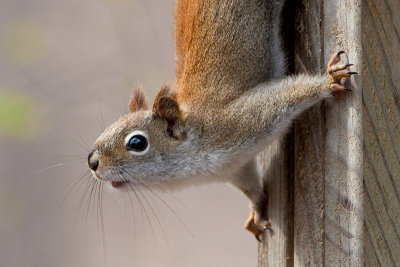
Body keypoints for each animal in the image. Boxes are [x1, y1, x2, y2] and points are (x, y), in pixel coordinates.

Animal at [86, 0, 356, 242]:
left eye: (137, 143)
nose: (92, 162)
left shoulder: (241, 120)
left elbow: (290, 92)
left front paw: (328, 80)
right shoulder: (236, 168)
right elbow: (252, 188)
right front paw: (256, 214)